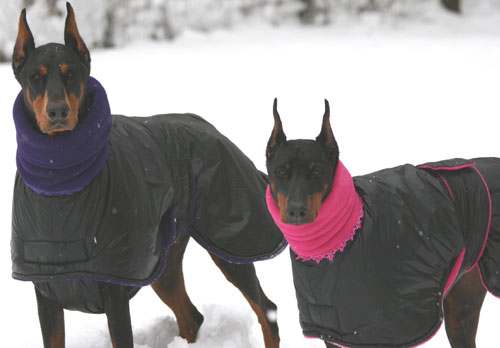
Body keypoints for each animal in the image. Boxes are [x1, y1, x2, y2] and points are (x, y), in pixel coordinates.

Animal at [10, 3, 286, 348]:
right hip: (163, 261)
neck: (59, 181)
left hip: (234, 240)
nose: (57, 111)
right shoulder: (45, 292)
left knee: (266, 309)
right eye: (36, 78)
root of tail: (207, 124)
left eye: (71, 74)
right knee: (191, 317)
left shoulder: (114, 292)